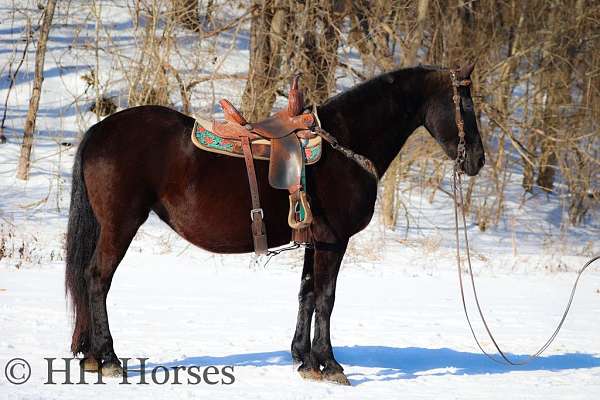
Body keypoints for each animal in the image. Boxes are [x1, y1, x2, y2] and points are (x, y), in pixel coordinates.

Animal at [65, 63, 486, 384]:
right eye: (465, 106)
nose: (477, 160)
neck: (346, 146)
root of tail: (99, 131)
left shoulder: (315, 240)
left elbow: (307, 294)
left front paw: (305, 360)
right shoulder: (334, 241)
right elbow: (326, 298)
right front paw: (330, 364)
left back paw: (92, 356)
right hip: (121, 225)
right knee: (97, 279)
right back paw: (108, 358)